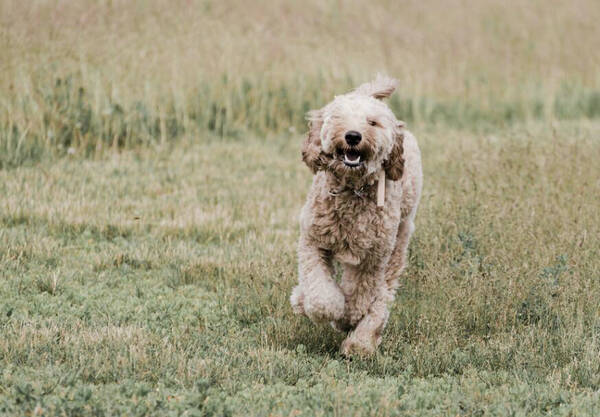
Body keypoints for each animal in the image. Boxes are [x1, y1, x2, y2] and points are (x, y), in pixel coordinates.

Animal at [290, 75, 422, 354]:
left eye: (372, 122)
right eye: (339, 118)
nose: (352, 136)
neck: (353, 189)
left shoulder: (371, 258)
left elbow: (359, 297)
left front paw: (347, 319)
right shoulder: (313, 242)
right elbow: (320, 294)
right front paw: (312, 304)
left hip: (397, 243)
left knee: (383, 295)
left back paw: (360, 344)